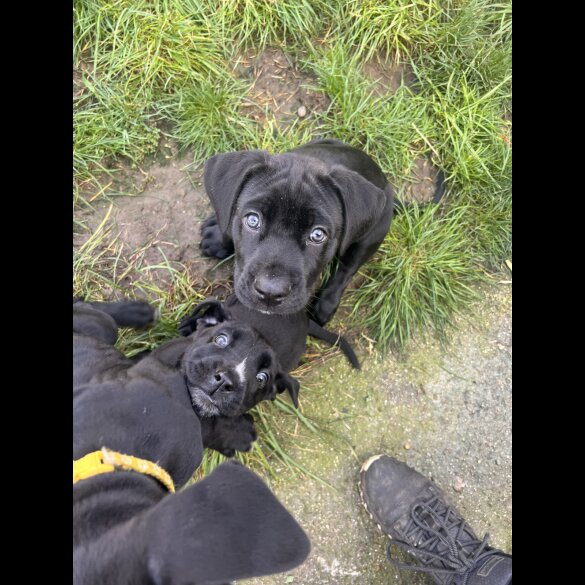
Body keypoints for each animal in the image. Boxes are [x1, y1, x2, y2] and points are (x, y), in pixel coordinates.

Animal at [201, 139, 442, 326]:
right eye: (253, 220)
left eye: (317, 235)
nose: (270, 292)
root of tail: (387, 188)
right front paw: (219, 238)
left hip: (372, 234)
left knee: (348, 268)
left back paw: (327, 303)